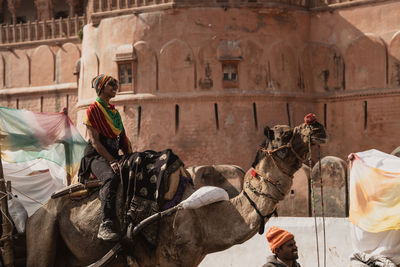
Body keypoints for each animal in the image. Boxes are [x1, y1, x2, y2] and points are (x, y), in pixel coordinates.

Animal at [25, 117, 326, 267]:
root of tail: (34, 212)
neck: (202, 219)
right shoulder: (162, 259)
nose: (318, 126)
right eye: (285, 135)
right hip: (43, 232)